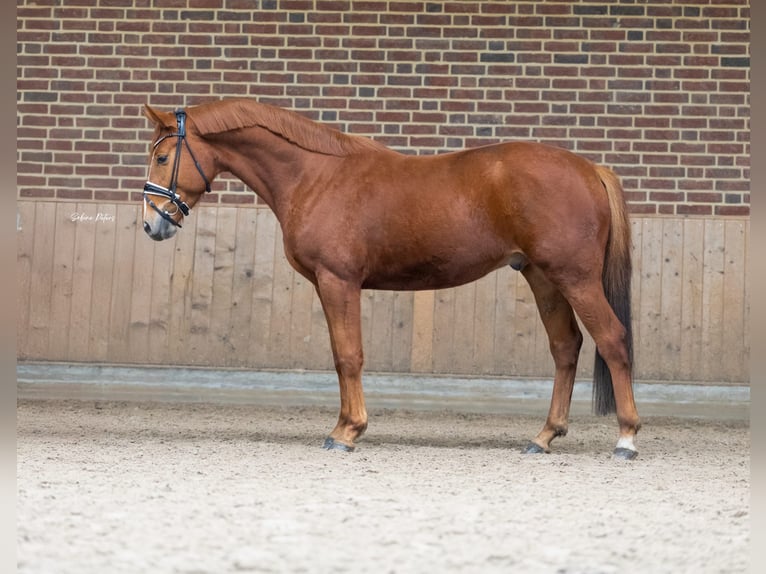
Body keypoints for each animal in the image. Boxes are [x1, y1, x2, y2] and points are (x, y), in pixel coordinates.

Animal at [141, 98, 640, 459]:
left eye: (163, 156)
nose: (151, 225)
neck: (316, 175)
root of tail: (591, 169)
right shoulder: (330, 285)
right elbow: (342, 355)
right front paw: (347, 425)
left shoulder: (338, 281)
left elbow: (348, 356)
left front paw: (346, 431)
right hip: (543, 278)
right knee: (566, 347)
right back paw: (544, 436)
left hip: (575, 278)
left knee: (612, 339)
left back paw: (626, 438)